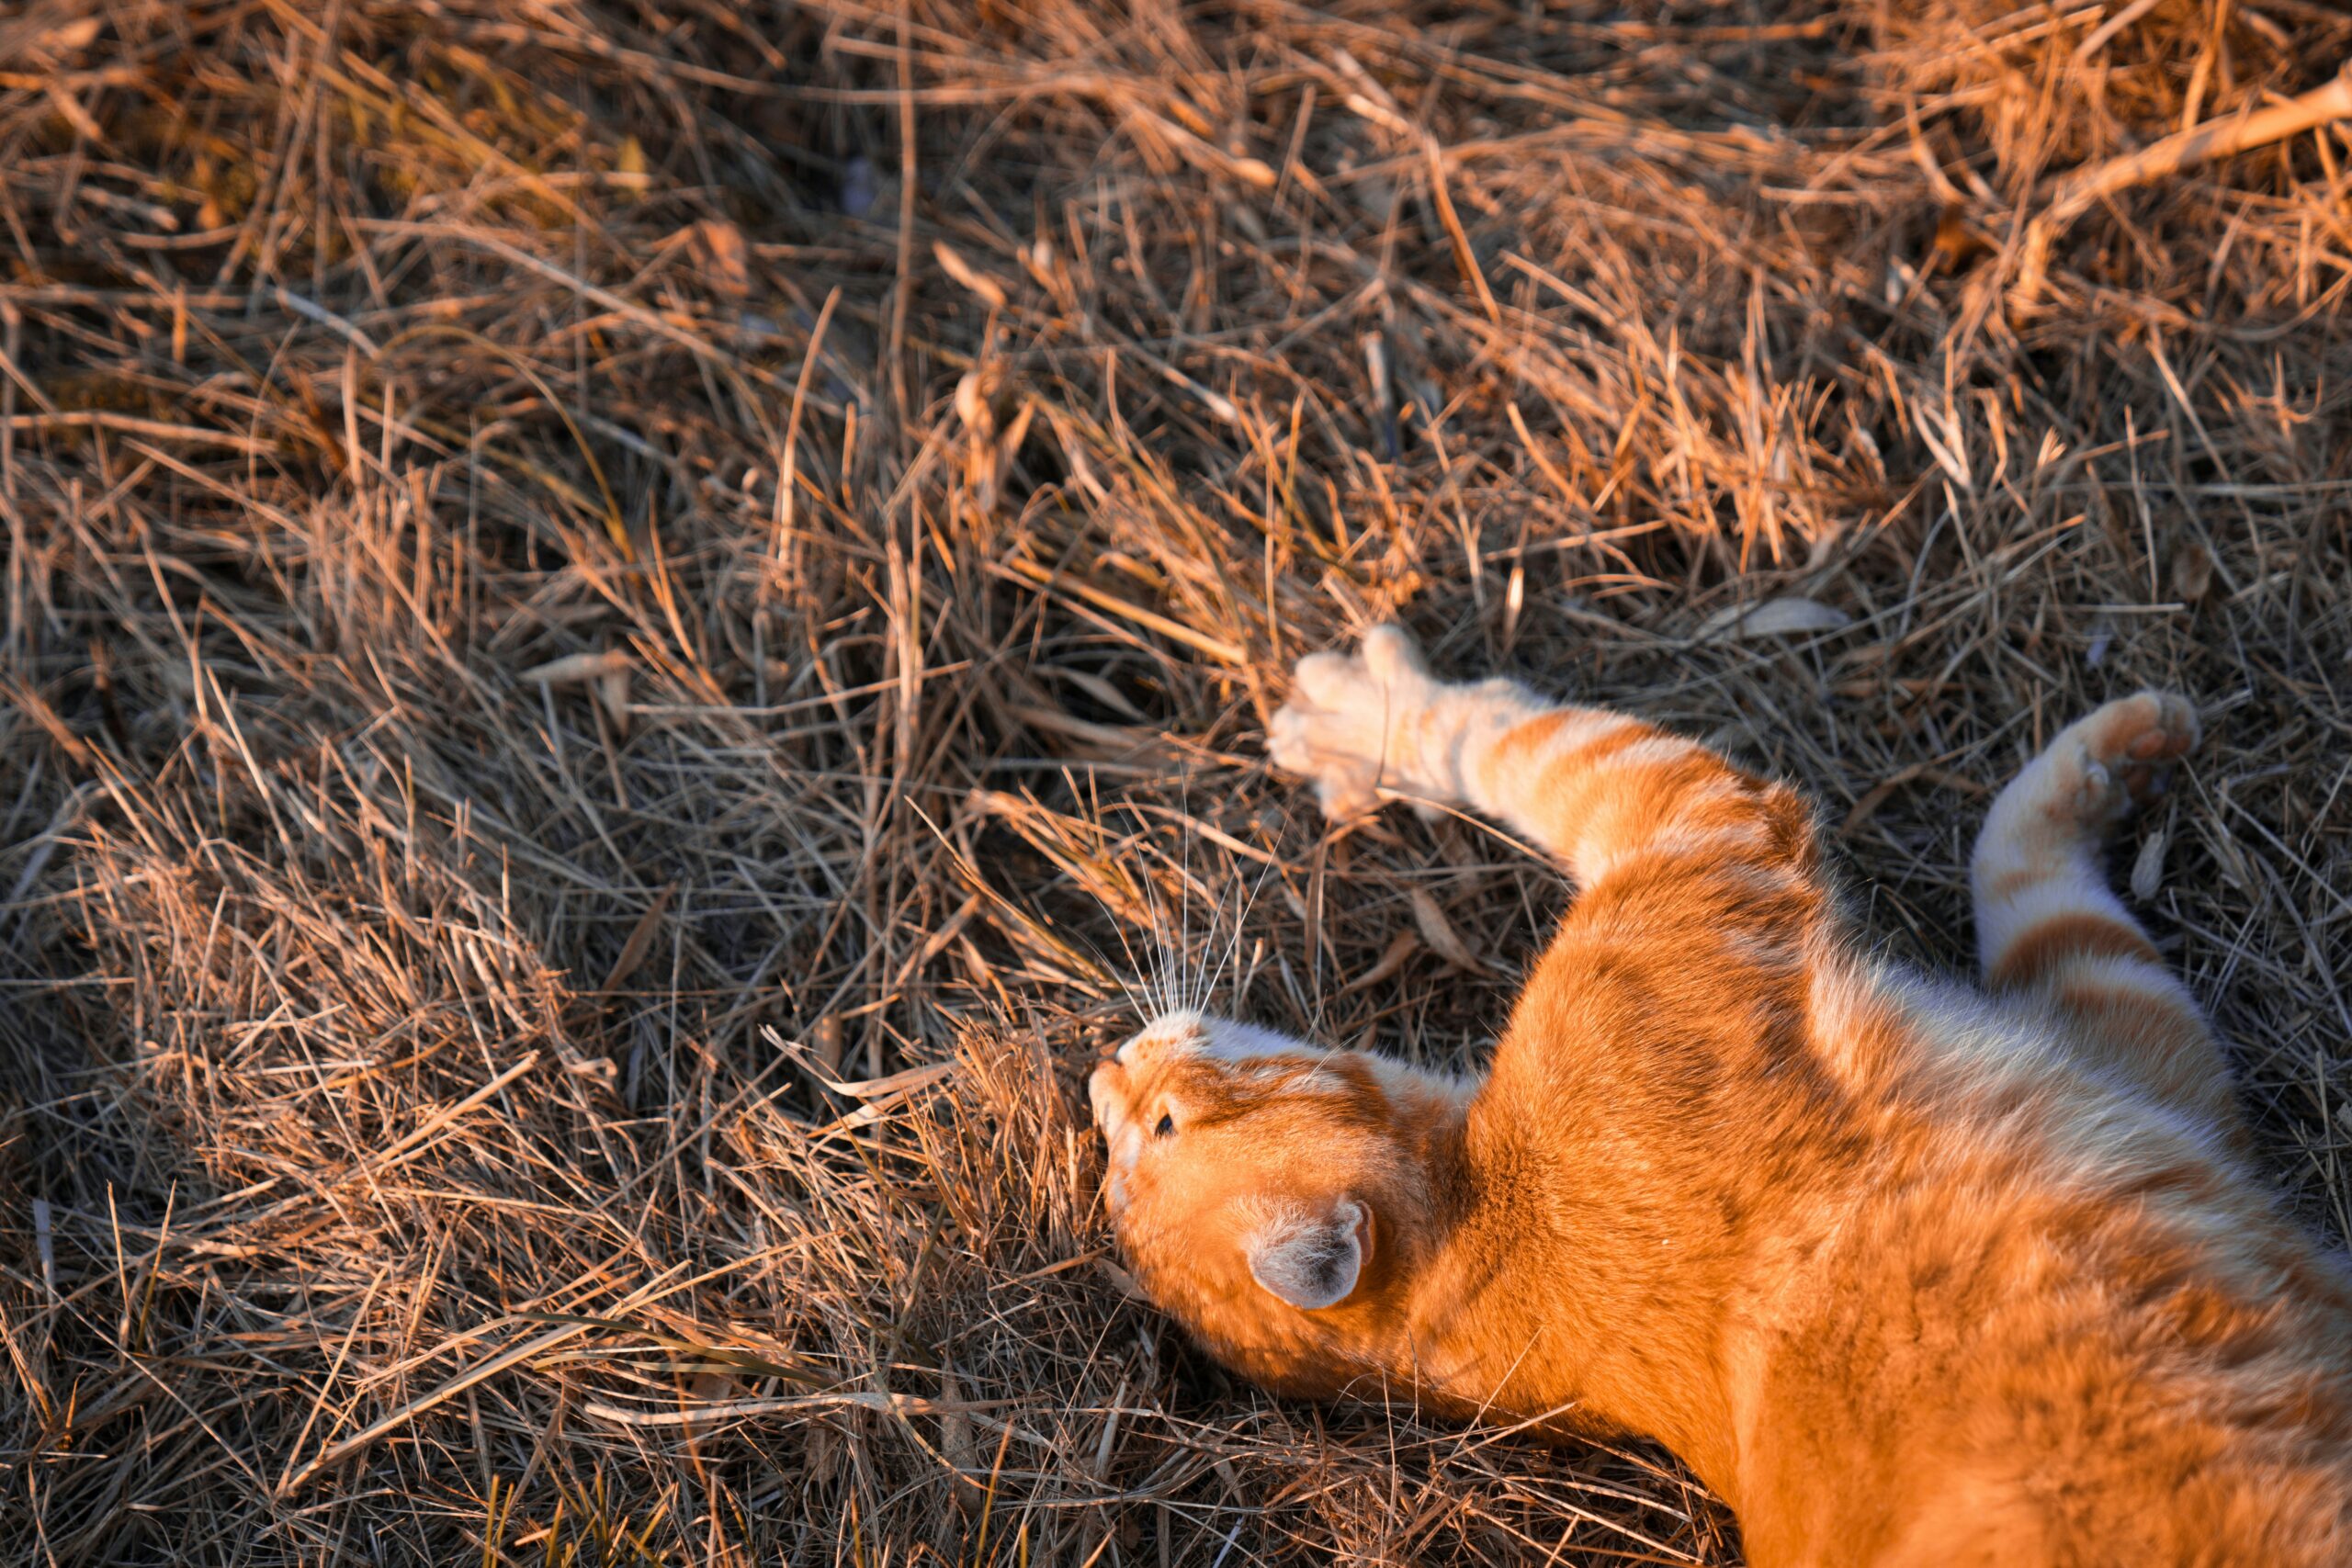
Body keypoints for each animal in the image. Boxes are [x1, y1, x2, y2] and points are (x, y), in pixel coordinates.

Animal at [1081, 625, 2352, 1568]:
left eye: (1150, 1132)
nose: (1101, 1075)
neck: (1491, 1236)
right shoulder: (1690, 819)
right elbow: (1496, 737)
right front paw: (1372, 714)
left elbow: (2021, 871)